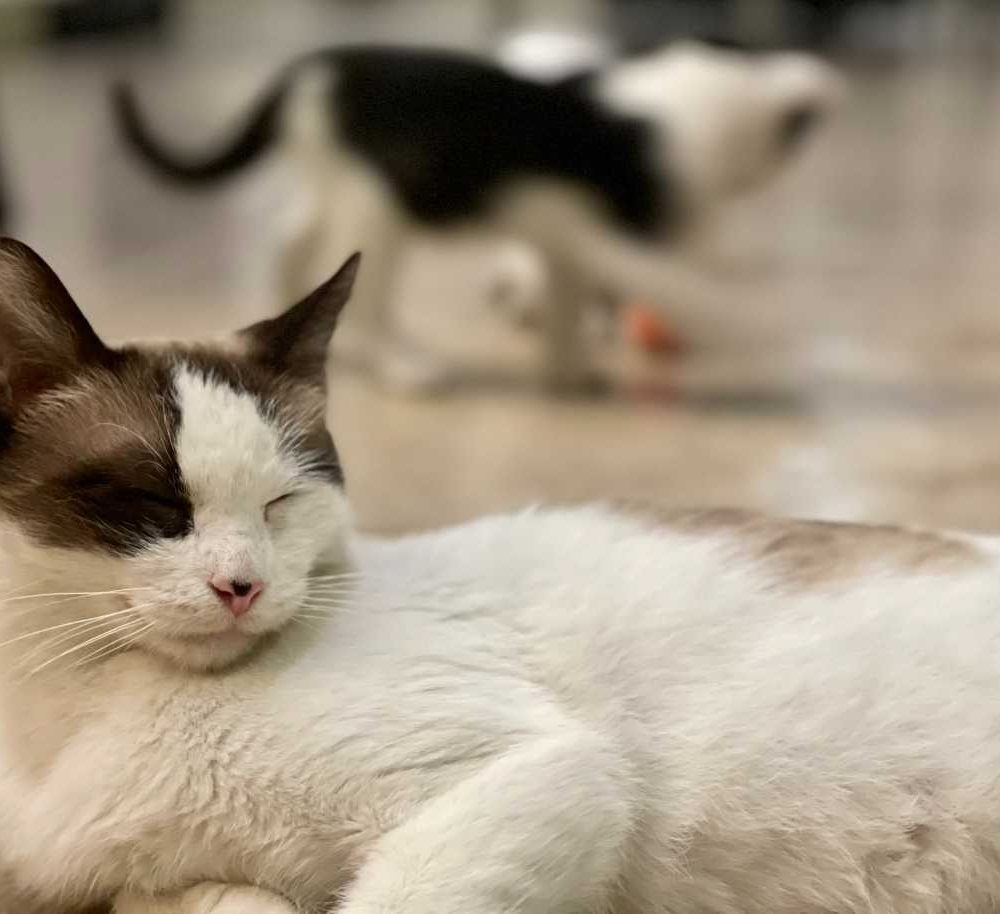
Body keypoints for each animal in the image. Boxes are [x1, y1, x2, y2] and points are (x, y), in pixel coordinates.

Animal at [6, 237, 1000, 914]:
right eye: (156, 503)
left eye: (281, 502)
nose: (241, 586)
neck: (60, 710)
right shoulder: (150, 877)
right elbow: (200, 899)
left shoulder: (540, 776)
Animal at [111, 41, 841, 393]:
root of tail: (308, 71)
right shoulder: (613, 237)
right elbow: (696, 290)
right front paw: (762, 317)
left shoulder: (566, 237)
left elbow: (567, 297)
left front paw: (567, 371)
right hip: (378, 206)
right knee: (363, 292)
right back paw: (406, 367)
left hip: (336, 181)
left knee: (287, 236)